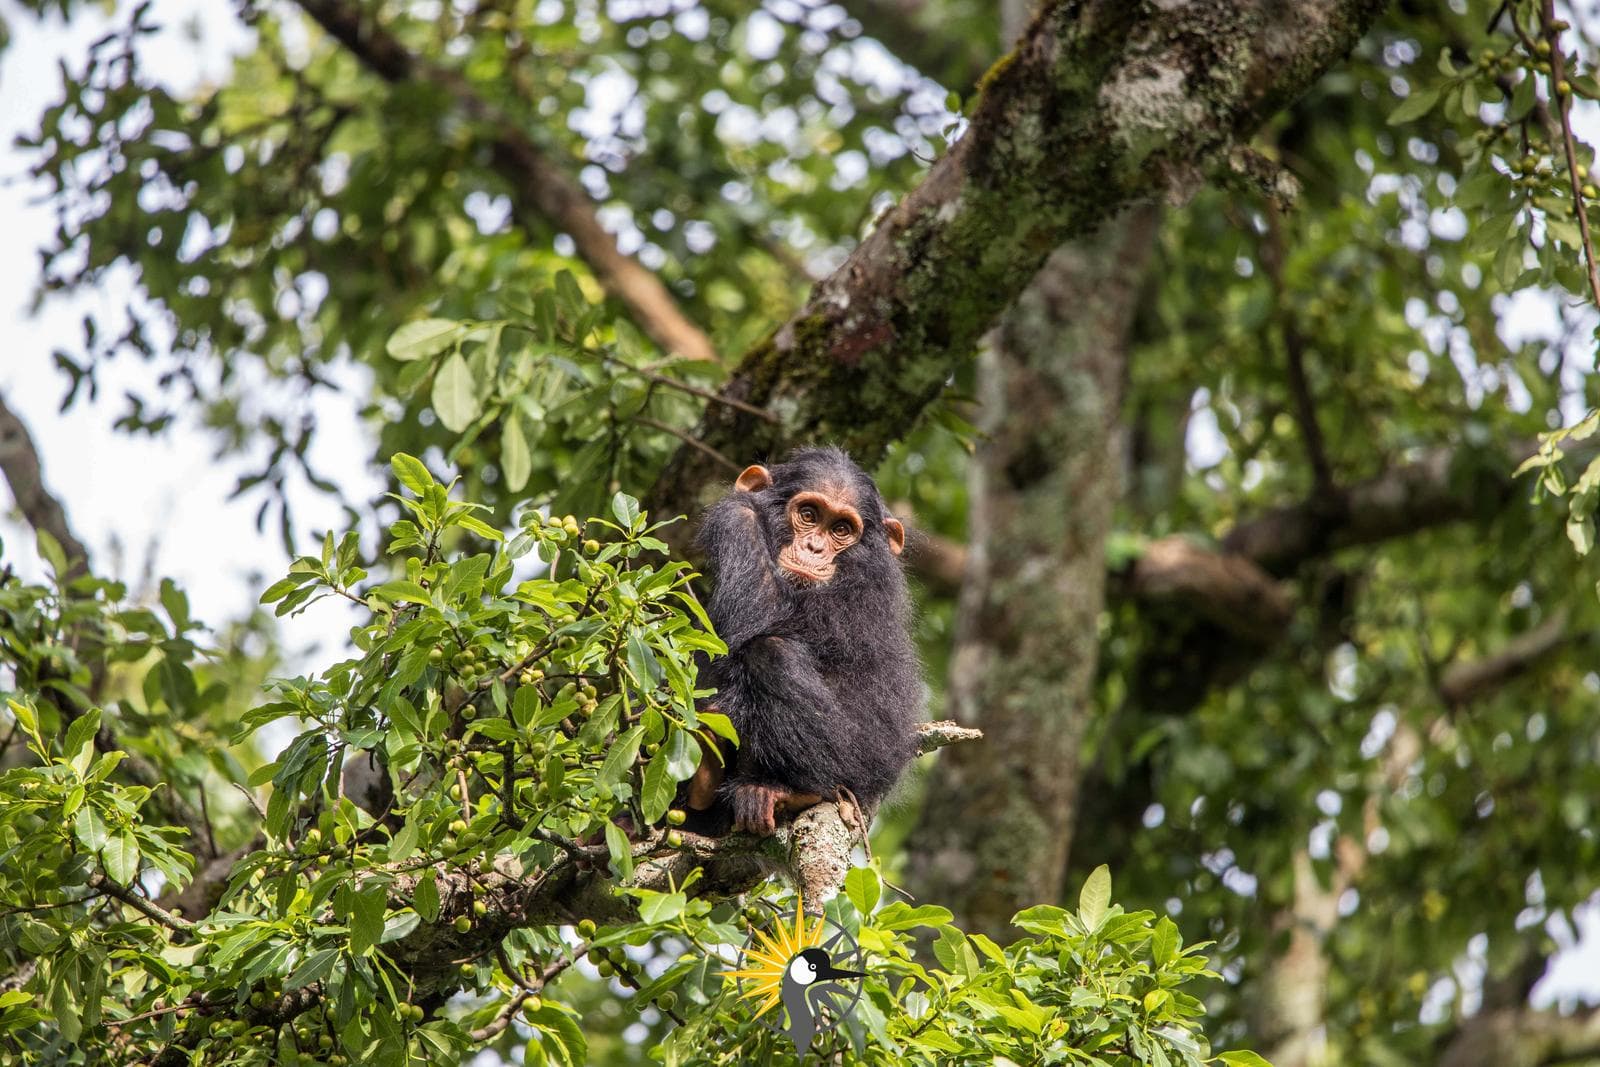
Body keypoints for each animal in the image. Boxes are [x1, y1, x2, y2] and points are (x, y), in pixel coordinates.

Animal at [683, 447, 922, 835]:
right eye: (808, 514)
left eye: (841, 529)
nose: (814, 546)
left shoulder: (862, 594)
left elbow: (762, 614)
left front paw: (744, 511)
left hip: (854, 767)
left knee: (770, 652)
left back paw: (788, 790)